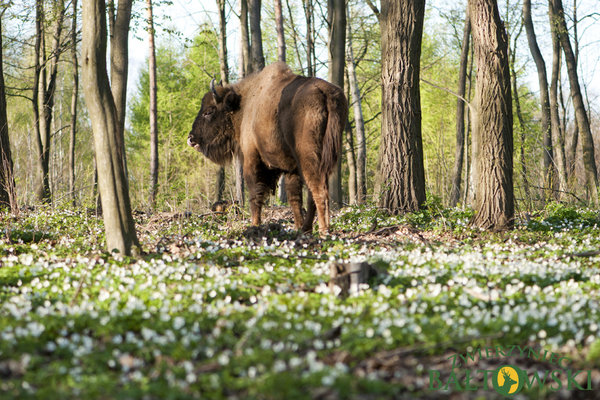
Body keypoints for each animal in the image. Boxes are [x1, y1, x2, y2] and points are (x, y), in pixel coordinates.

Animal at [188, 62, 346, 234]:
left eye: (209, 111)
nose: (191, 138)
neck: (243, 106)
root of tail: (325, 93)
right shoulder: (291, 169)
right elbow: (294, 198)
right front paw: (297, 226)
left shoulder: (252, 158)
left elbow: (255, 194)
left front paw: (254, 225)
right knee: (312, 193)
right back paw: (306, 228)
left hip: (309, 158)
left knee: (319, 190)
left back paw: (324, 230)